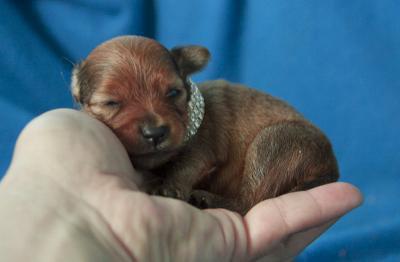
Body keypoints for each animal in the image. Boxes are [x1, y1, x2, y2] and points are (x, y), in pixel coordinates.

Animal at [71, 35, 338, 215]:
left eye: (173, 92)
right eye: (111, 103)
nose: (155, 133)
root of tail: (332, 167)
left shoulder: (203, 145)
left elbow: (188, 164)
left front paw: (169, 187)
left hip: (274, 143)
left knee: (250, 201)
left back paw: (207, 200)